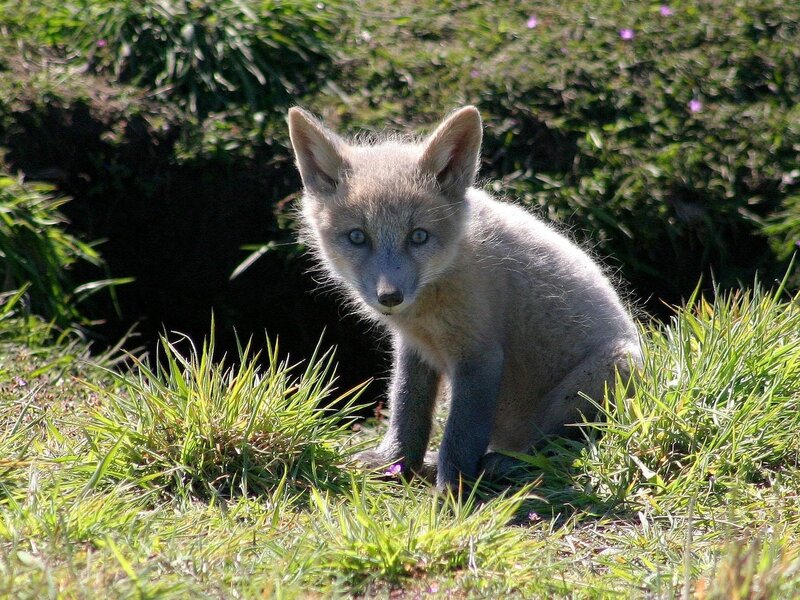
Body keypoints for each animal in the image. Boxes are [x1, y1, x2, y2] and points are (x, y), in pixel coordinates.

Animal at [287, 105, 642, 492]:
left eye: (419, 236)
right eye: (357, 237)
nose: (390, 296)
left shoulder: (479, 355)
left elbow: (461, 433)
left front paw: (453, 490)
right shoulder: (414, 349)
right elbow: (406, 407)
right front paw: (395, 463)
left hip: (613, 369)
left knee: (562, 443)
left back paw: (510, 463)